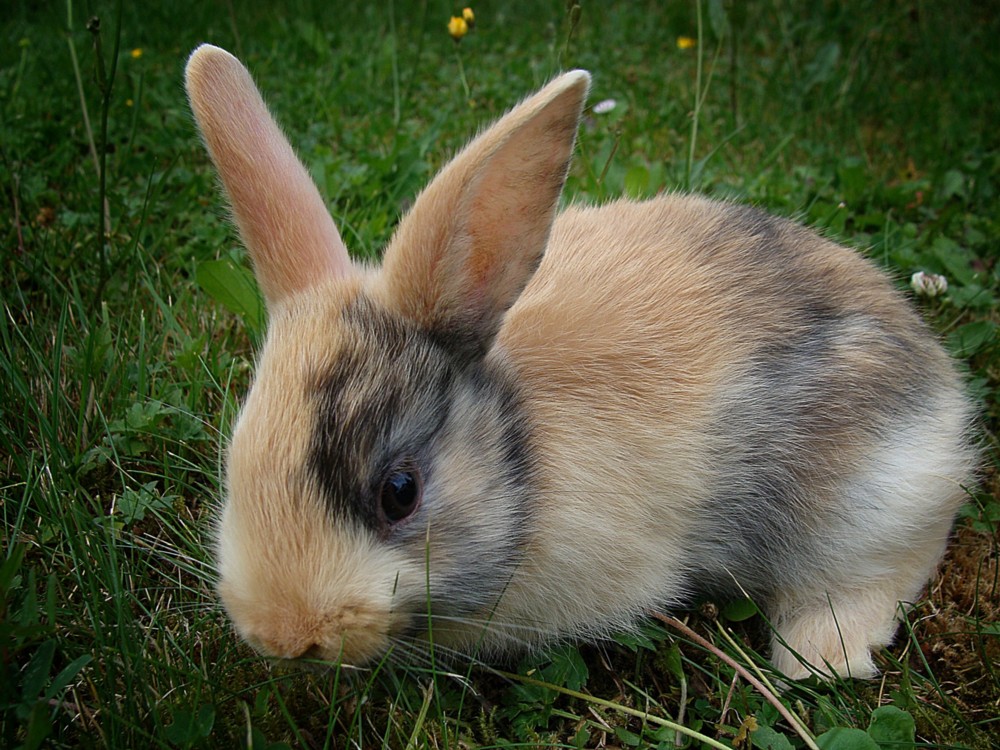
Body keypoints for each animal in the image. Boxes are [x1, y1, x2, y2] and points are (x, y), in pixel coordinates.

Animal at [184, 44, 972, 684]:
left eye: (398, 492)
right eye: (236, 459)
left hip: (868, 497)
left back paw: (817, 657)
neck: (521, 447)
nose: (283, 636)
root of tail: (944, 388)